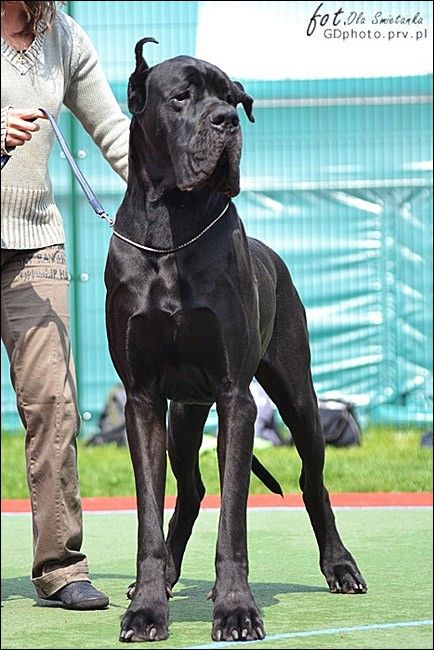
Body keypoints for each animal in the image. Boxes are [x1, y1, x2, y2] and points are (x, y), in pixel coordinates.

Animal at [104, 37, 367, 643]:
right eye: (181, 96)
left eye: (232, 97)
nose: (225, 121)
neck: (172, 230)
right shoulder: (143, 400)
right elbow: (149, 515)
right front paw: (147, 607)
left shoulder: (235, 398)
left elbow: (234, 520)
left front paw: (236, 610)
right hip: (182, 416)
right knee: (190, 491)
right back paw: (165, 578)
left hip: (299, 398)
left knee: (312, 481)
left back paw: (340, 566)